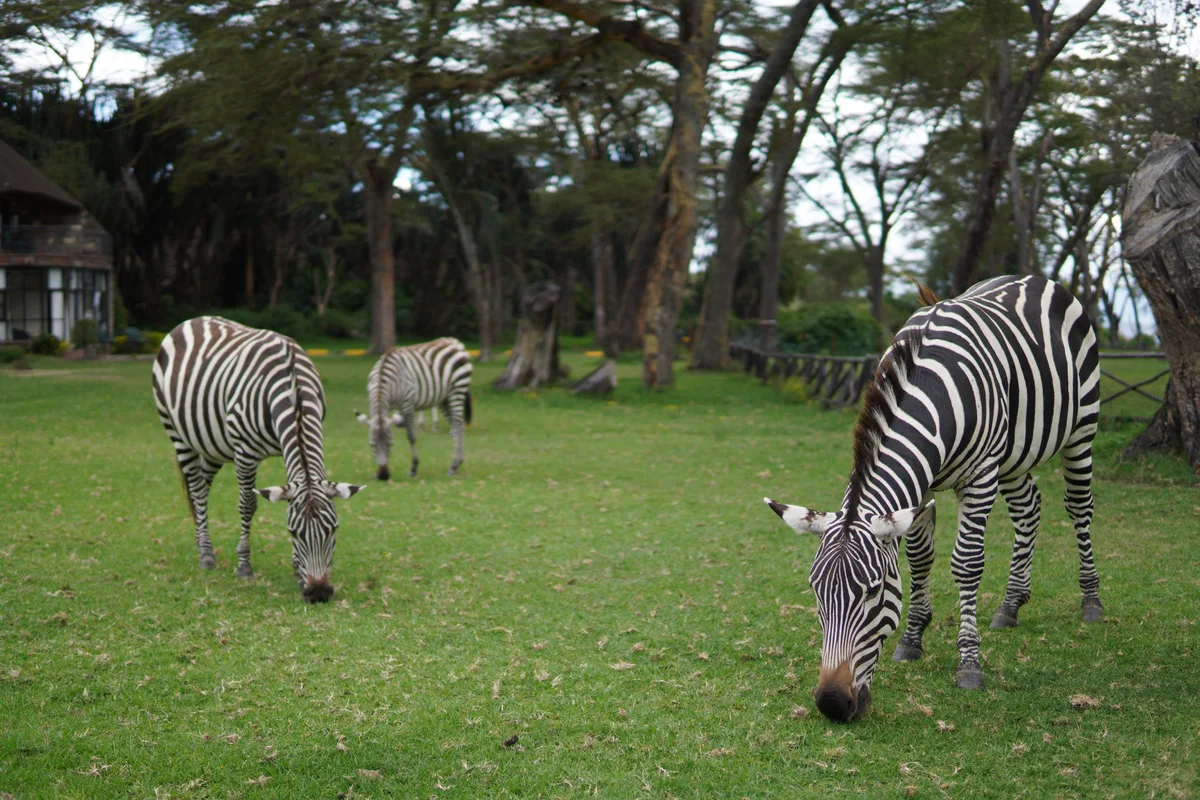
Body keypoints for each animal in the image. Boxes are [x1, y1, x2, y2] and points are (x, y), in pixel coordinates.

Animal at [151, 317, 364, 603]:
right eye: (293, 533)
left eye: (334, 529)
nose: (318, 593)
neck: (292, 385)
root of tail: (193, 320)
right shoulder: (244, 453)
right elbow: (248, 505)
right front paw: (244, 566)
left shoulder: (290, 448)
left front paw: (296, 569)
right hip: (177, 433)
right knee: (196, 487)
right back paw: (206, 554)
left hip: (213, 444)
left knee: (202, 489)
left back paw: (200, 540)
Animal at [354, 337, 473, 481]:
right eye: (372, 444)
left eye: (390, 444)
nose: (383, 475)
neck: (383, 379)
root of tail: (455, 342)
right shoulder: (385, 407)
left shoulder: (407, 404)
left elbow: (411, 436)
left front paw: (413, 468)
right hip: (444, 399)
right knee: (456, 428)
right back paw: (455, 464)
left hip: (457, 390)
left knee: (458, 425)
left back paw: (454, 466)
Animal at [763, 275, 1103, 723]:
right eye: (815, 590)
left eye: (873, 591)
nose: (832, 704)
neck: (929, 390)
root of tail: (1028, 278)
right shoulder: (919, 486)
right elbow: (920, 558)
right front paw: (912, 639)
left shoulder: (979, 476)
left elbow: (967, 564)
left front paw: (969, 665)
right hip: (1015, 455)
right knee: (1028, 509)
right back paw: (1011, 604)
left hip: (1081, 429)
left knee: (1079, 506)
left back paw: (1092, 600)